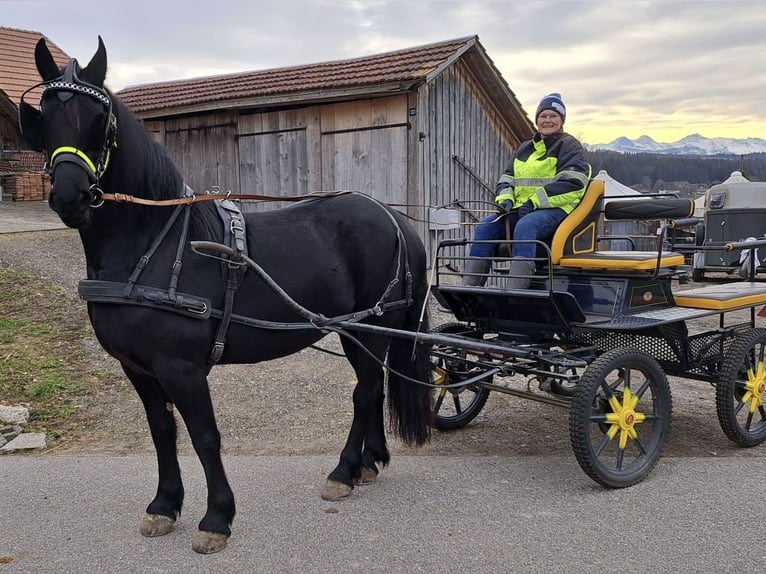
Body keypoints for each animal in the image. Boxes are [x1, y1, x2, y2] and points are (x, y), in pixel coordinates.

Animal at [19, 38, 432, 556]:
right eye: (45, 115)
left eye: (101, 117)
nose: (70, 196)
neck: (151, 242)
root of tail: (394, 218)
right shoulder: (138, 368)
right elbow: (162, 432)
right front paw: (163, 506)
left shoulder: (183, 368)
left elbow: (204, 436)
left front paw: (216, 518)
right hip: (357, 329)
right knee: (372, 387)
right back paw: (368, 463)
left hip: (371, 326)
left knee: (365, 390)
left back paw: (343, 470)